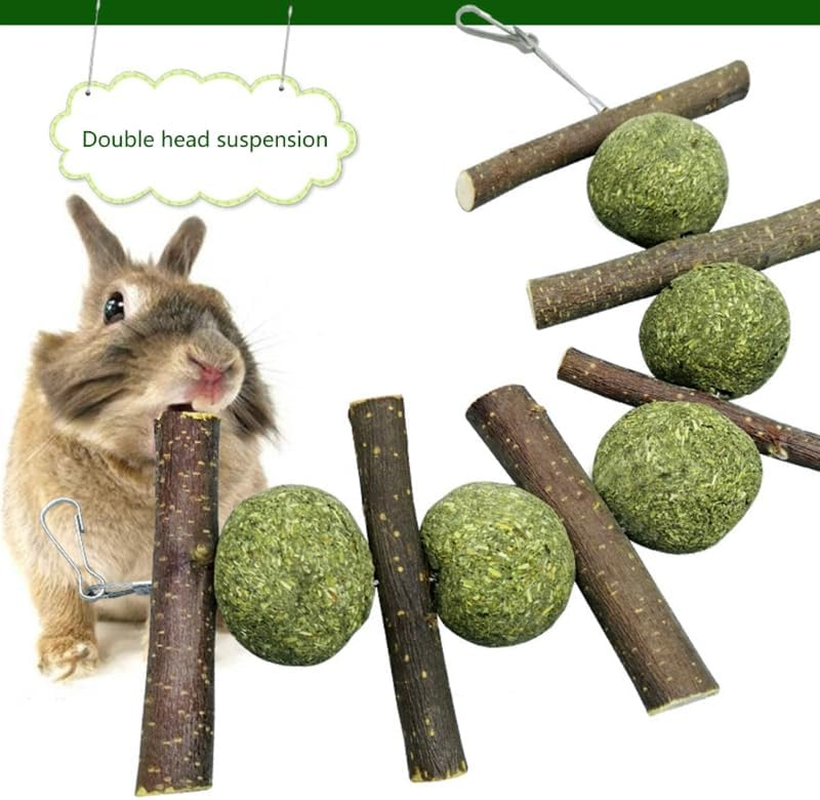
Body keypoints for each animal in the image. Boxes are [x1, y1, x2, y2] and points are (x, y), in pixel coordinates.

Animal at [3, 196, 275, 680]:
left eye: (220, 303)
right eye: (114, 306)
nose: (215, 363)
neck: (141, 470)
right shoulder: (42, 544)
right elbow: (59, 599)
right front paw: (67, 660)